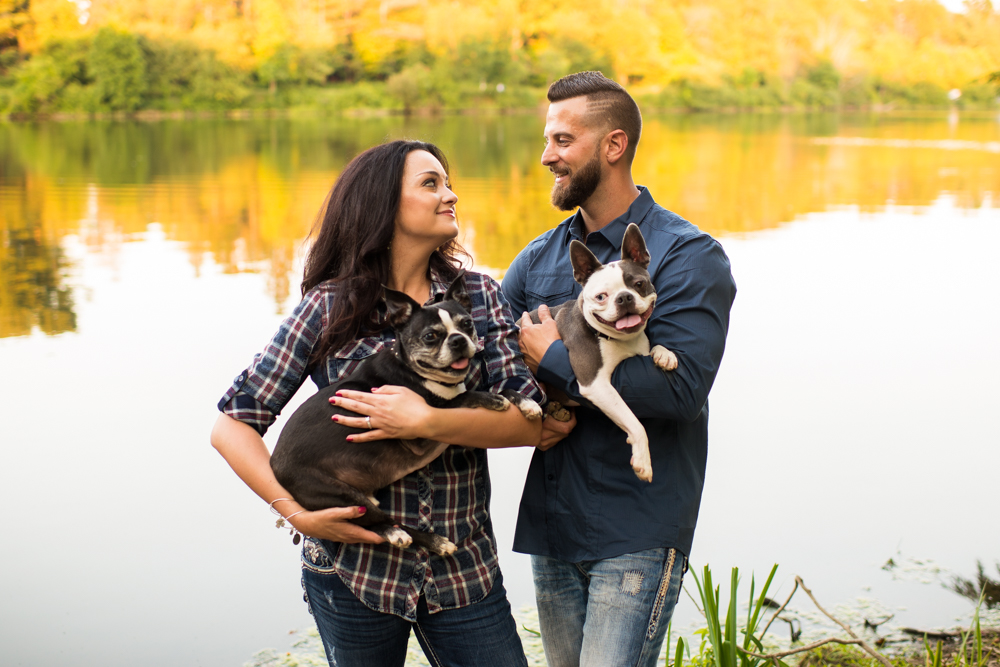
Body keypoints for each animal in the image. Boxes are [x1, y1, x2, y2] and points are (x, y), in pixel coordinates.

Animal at [270, 274, 544, 556]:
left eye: (467, 324)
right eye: (430, 336)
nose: (458, 339)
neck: (414, 371)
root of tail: (274, 464)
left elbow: (498, 388)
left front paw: (526, 402)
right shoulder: (420, 432)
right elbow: (463, 396)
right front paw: (492, 399)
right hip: (338, 495)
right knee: (378, 522)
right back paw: (412, 537)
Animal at [524, 227, 680, 482]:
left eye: (639, 284)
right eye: (601, 296)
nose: (624, 297)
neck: (620, 339)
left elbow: (653, 348)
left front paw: (664, 354)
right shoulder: (596, 384)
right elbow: (634, 422)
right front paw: (643, 461)